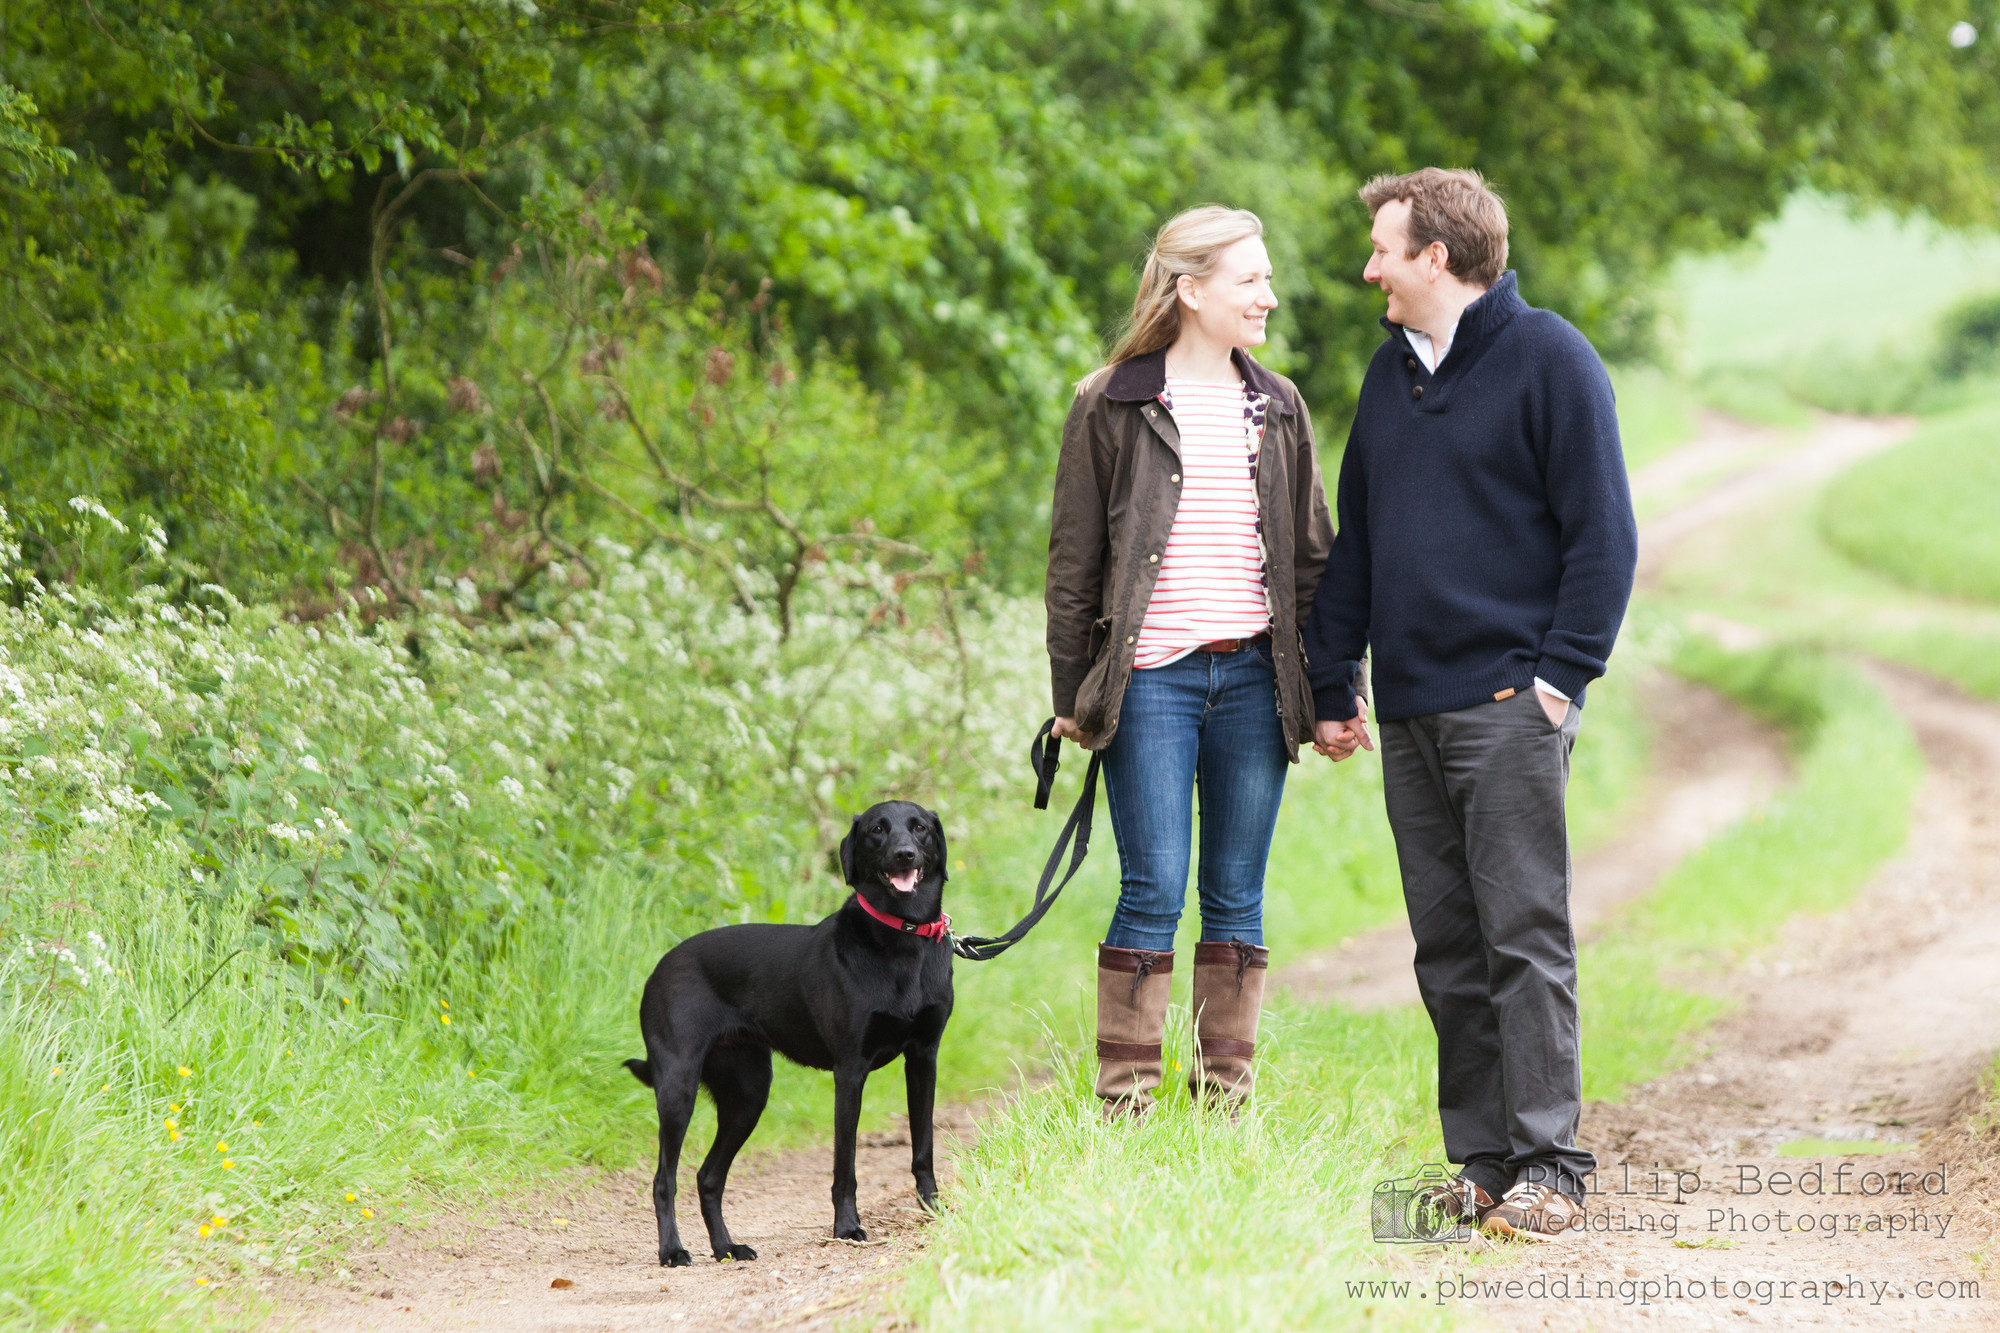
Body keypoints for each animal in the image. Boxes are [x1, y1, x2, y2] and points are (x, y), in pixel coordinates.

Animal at [620, 792, 956, 1264]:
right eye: (877, 829)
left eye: (919, 827)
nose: (904, 854)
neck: (902, 938)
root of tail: (660, 967)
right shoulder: (850, 1071)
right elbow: (845, 1163)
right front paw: (846, 1227)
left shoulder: (924, 1058)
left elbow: (923, 1148)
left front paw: (934, 1209)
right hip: (678, 1087)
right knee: (664, 1179)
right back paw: (672, 1250)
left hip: (748, 1094)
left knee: (708, 1177)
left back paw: (726, 1247)